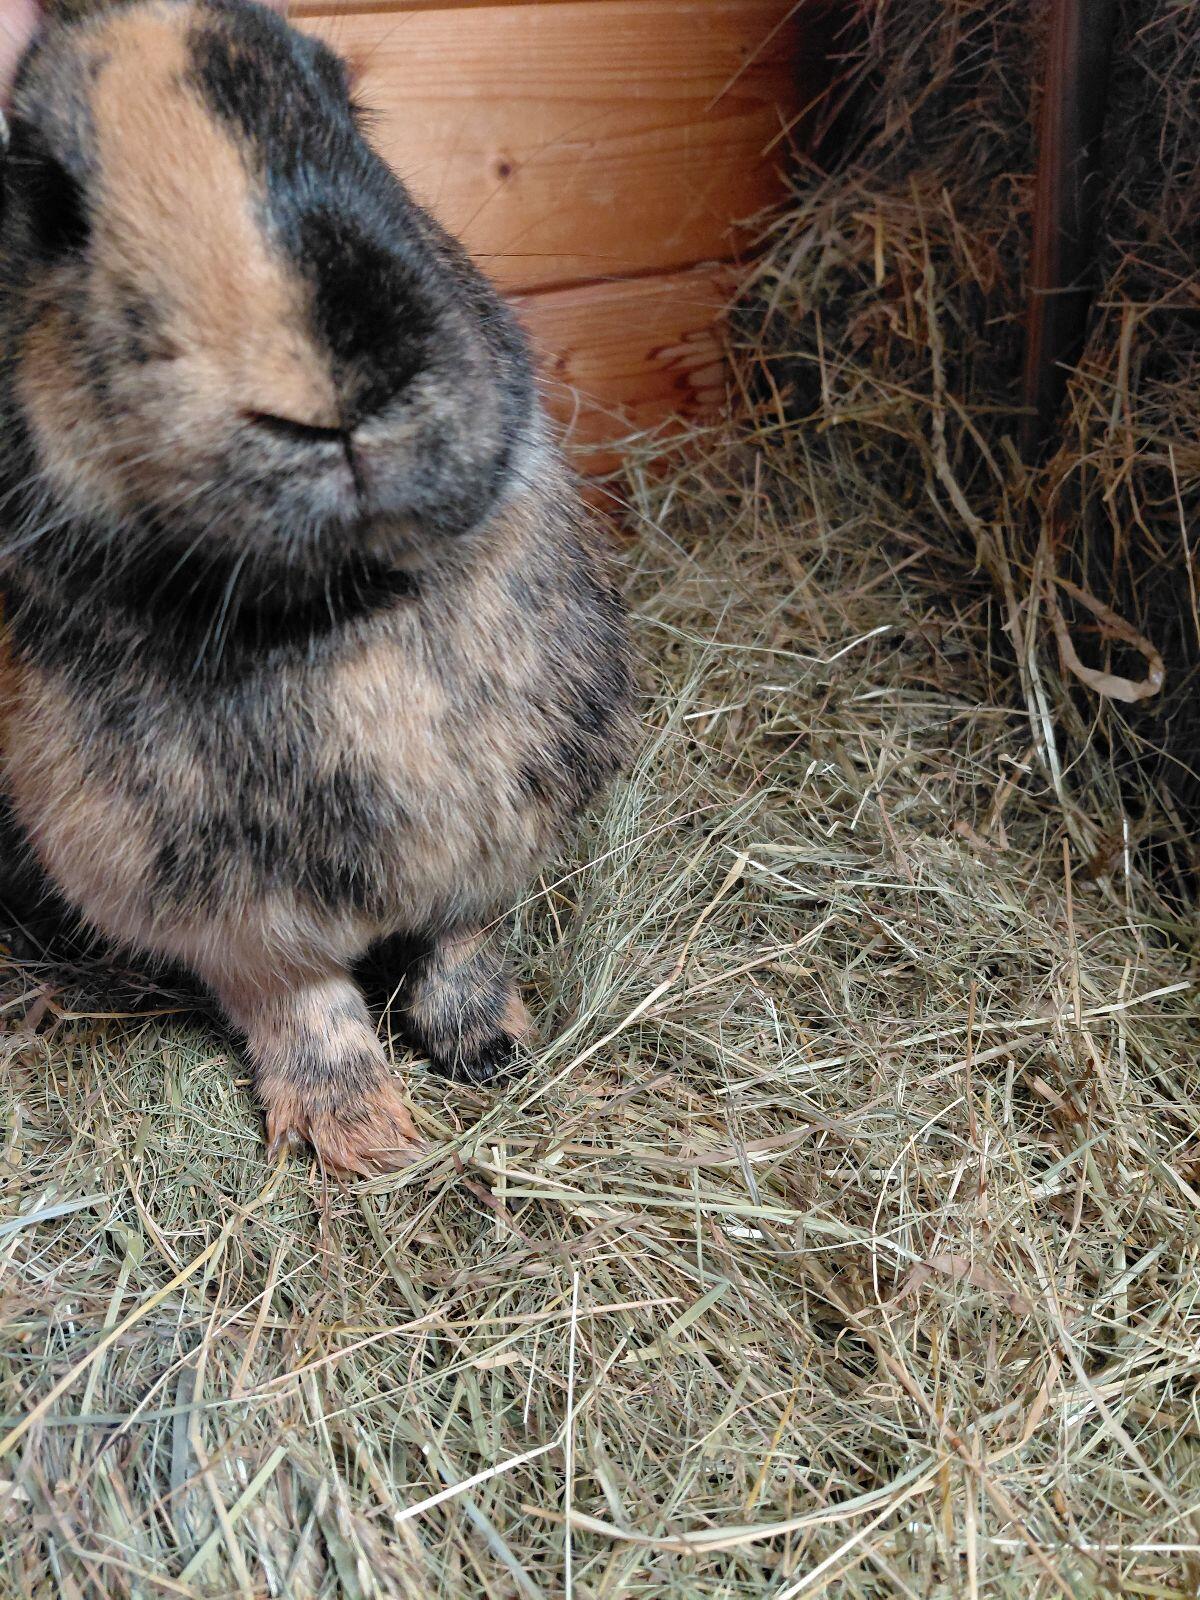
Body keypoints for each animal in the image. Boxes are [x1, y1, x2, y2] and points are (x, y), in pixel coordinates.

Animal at [0, 0, 634, 1174]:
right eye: (53, 201)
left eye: (346, 110)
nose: (341, 395)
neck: (347, 606)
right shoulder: (222, 911)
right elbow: (302, 1002)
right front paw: (364, 1138)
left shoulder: (491, 839)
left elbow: (461, 940)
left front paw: (492, 1047)